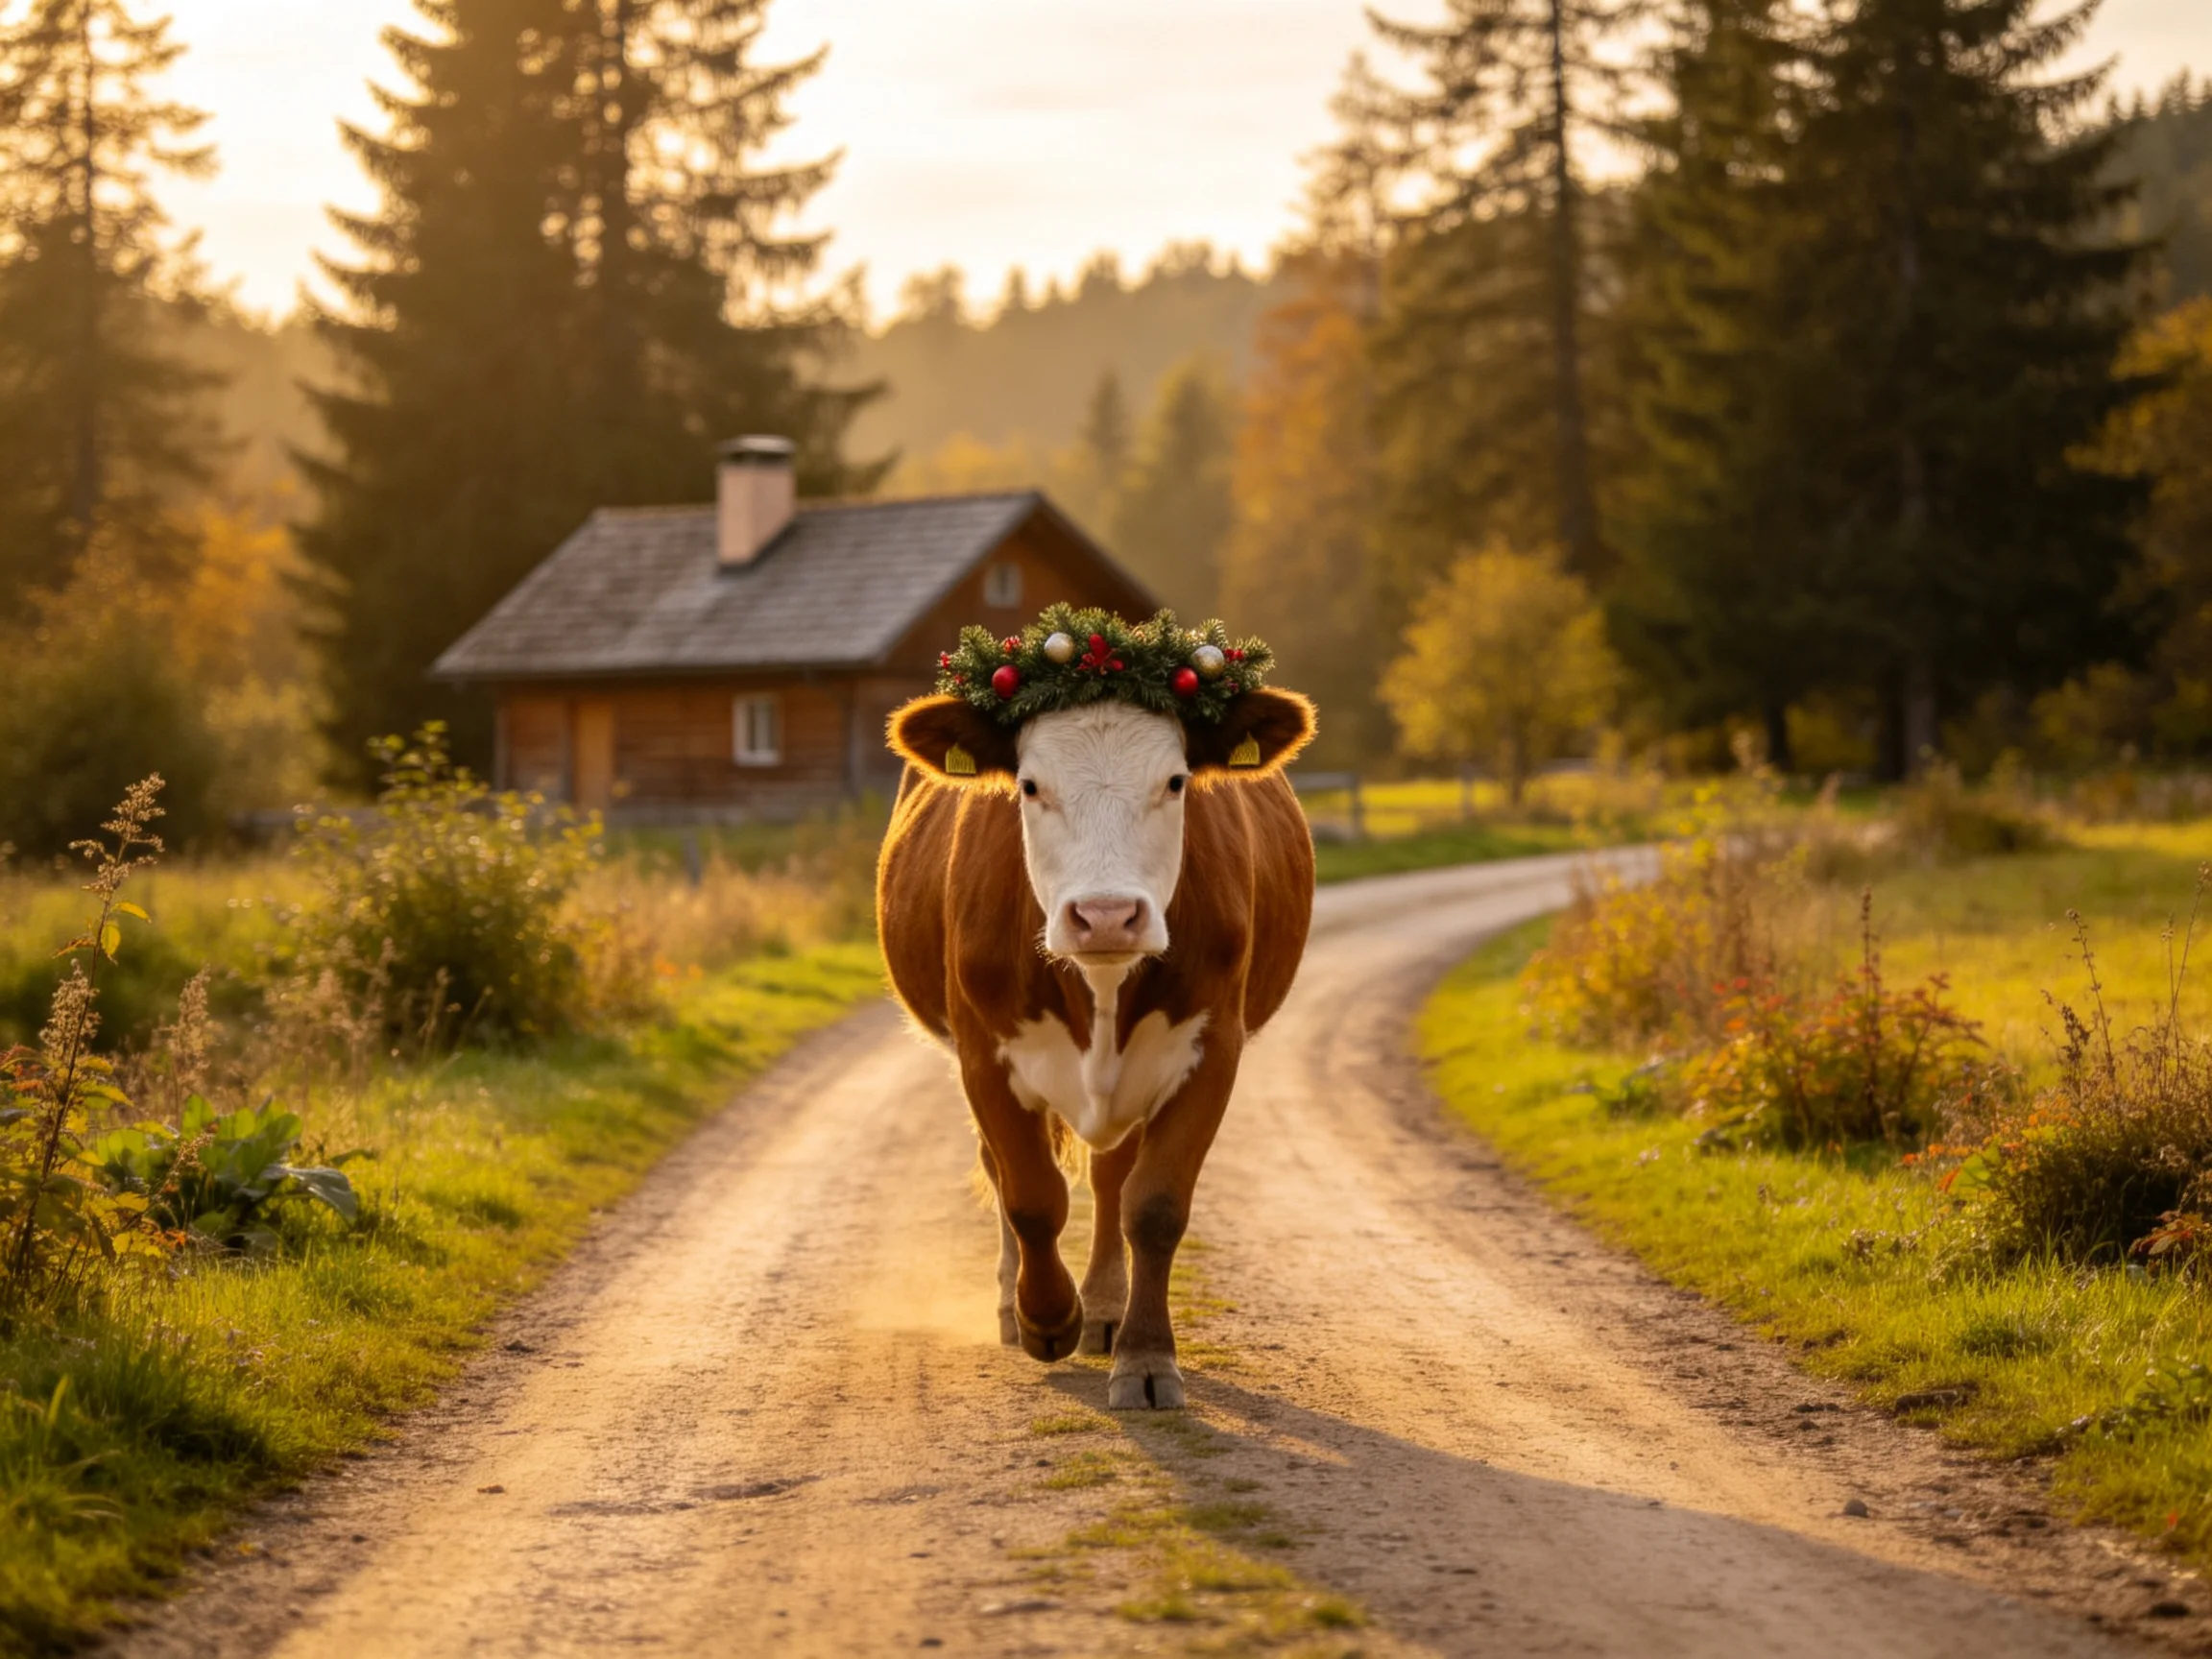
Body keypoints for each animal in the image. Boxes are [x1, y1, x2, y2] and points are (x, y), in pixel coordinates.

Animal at [877, 677, 1316, 1409]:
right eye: (1029, 785)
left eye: (1176, 781)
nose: (1106, 916)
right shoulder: (982, 1054)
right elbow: (1031, 1195)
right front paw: (1046, 1318)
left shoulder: (1211, 1051)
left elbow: (1154, 1205)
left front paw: (1145, 1356)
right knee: (1002, 1171)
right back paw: (1013, 1306)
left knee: (1113, 1179)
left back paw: (1106, 1309)